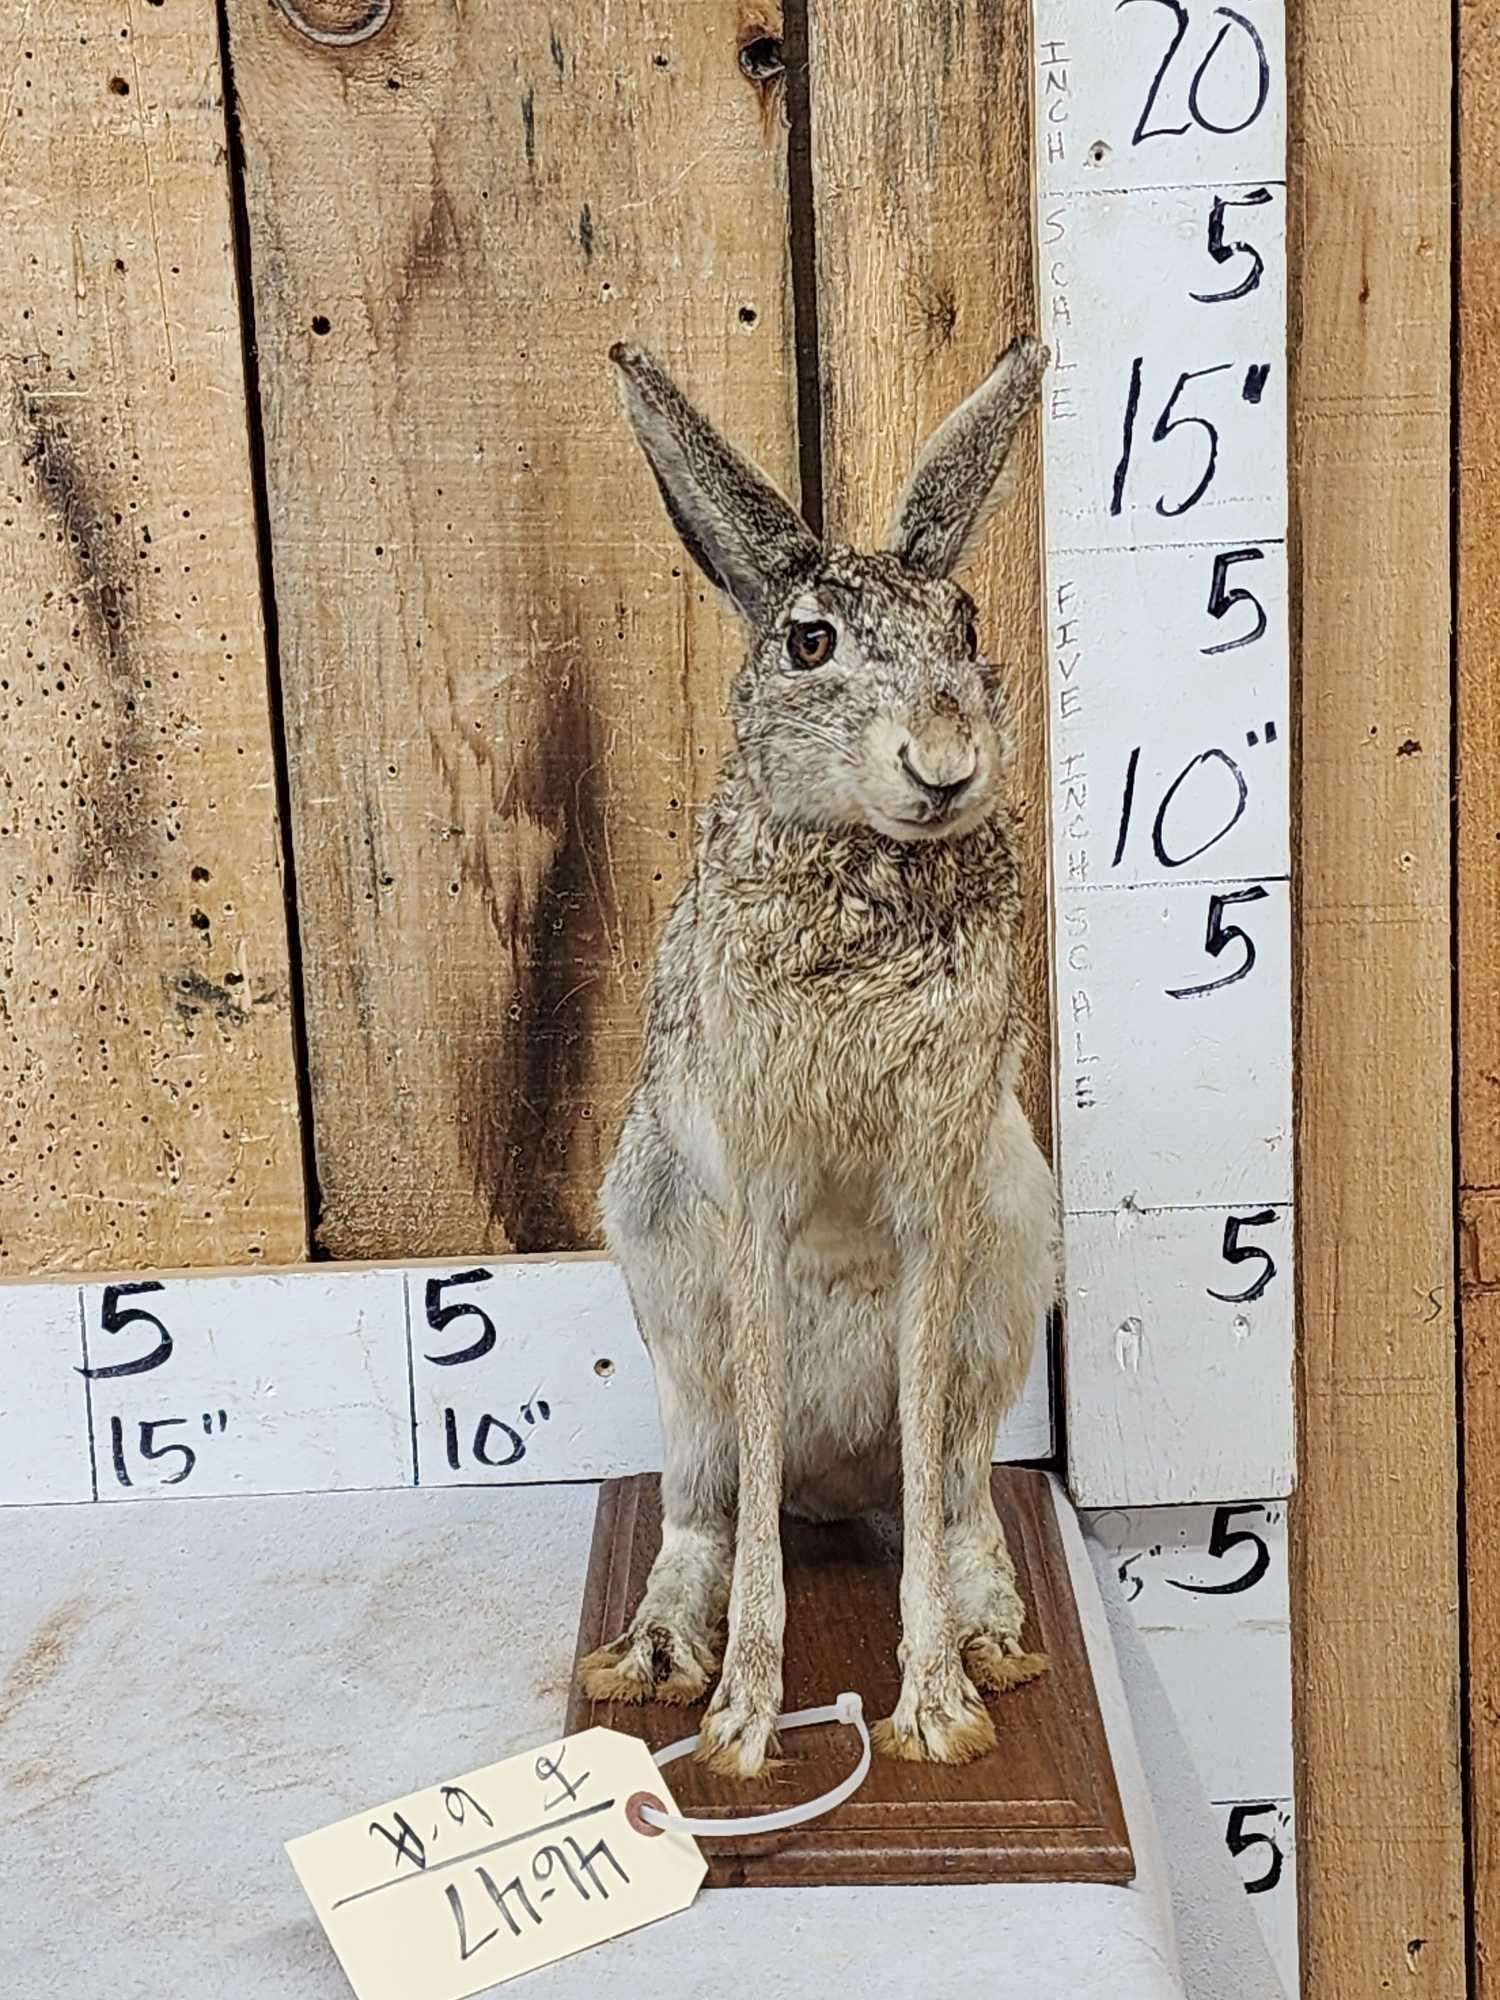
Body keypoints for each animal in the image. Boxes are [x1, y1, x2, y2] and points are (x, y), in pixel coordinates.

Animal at [577, 336, 1060, 1780]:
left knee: (952, 1498)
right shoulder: (757, 1191)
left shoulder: (938, 1190)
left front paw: (939, 1715)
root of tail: (836, 1482)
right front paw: (740, 1727)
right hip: (682, 1346)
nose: (945, 763)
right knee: (706, 1507)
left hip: (997, 1315)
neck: (865, 864)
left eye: (969, 629)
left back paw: (995, 1643)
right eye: (810, 642)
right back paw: (656, 1659)